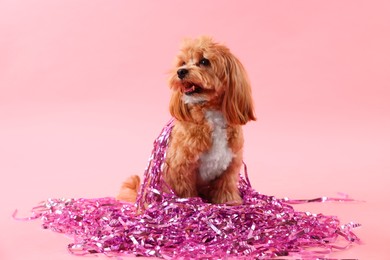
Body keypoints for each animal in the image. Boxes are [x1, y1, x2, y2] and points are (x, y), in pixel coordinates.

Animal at [116, 35, 256, 204]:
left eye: (204, 61)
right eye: (182, 63)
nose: (181, 72)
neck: (211, 115)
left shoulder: (229, 167)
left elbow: (226, 189)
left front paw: (230, 203)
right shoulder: (181, 168)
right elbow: (185, 192)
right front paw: (189, 204)